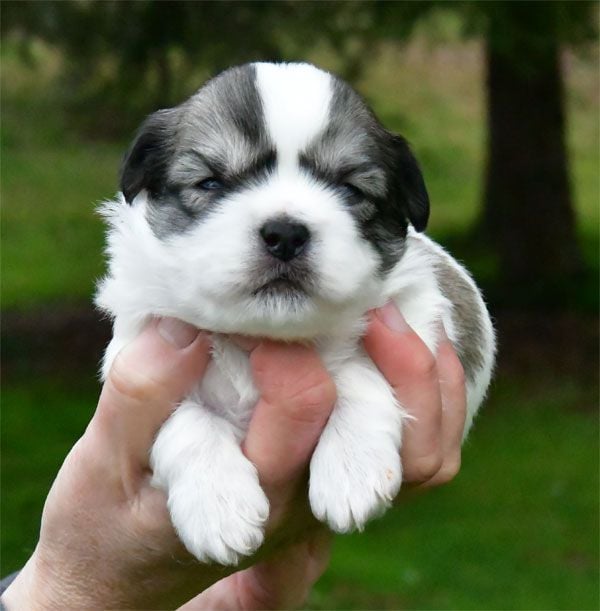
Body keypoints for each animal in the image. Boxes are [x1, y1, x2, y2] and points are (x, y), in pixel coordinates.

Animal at [96, 63, 494, 568]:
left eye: (350, 189)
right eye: (211, 183)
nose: (285, 233)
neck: (267, 335)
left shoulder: (414, 314)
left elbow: (361, 371)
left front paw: (352, 467)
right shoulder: (133, 357)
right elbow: (182, 420)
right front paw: (217, 503)